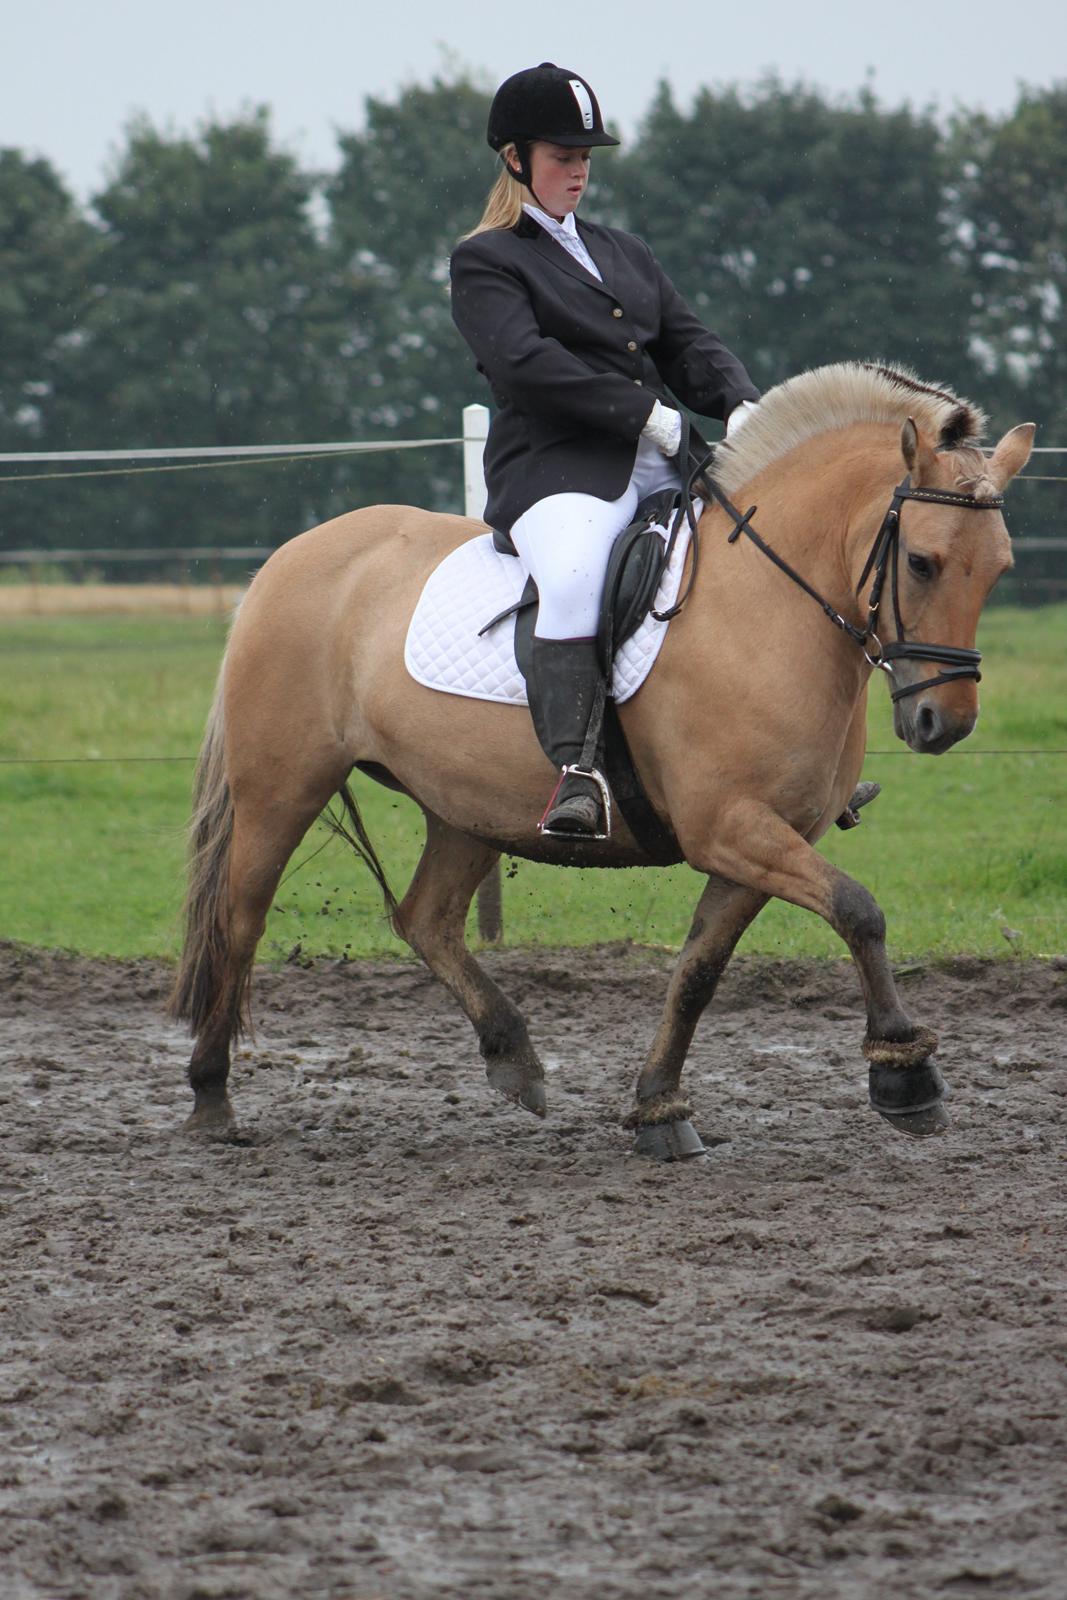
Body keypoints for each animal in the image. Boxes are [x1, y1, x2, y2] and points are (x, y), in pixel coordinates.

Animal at [169, 362, 1033, 1158]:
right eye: (920, 562)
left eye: (1000, 568)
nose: (943, 722)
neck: (766, 603)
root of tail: (292, 556)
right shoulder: (731, 828)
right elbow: (859, 911)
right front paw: (905, 1077)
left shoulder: (763, 839)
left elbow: (699, 971)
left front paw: (659, 1109)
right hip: (284, 785)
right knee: (240, 917)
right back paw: (211, 1098)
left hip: (465, 806)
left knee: (425, 919)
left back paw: (514, 1058)